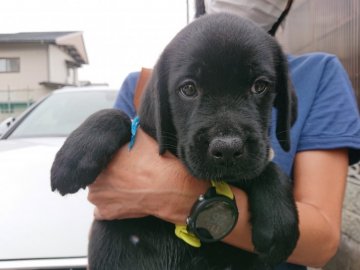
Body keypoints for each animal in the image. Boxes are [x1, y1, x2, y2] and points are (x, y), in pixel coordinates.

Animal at [50, 13, 298, 270]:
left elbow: (268, 167)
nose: (228, 149)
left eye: (259, 86)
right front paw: (74, 157)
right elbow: (121, 116)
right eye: (188, 88)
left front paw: (279, 221)